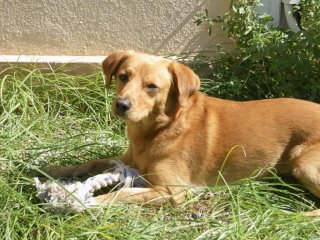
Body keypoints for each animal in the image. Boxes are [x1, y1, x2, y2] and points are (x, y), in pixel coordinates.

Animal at [45, 50, 320, 216]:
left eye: (152, 86)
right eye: (123, 76)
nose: (121, 105)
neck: (160, 129)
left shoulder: (174, 190)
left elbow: (122, 192)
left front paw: (80, 200)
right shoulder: (127, 159)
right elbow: (89, 162)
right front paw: (54, 170)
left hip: (305, 163)